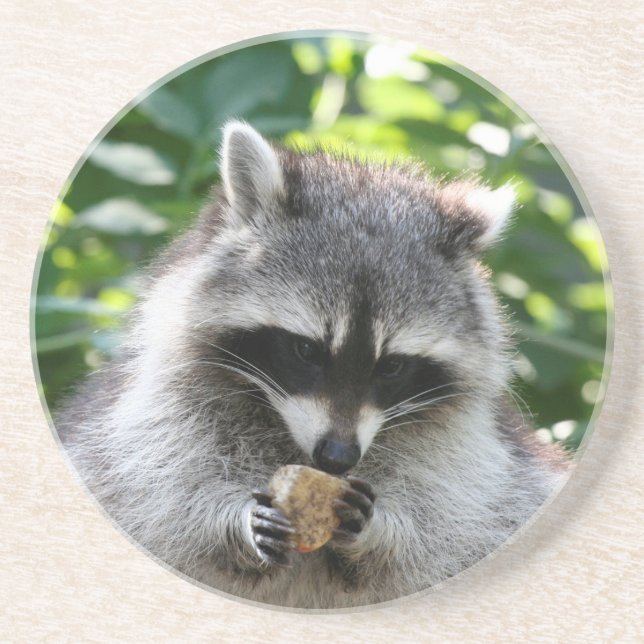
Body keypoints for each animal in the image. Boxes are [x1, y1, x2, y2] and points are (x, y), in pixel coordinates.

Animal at [57, 121, 567, 609]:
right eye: (306, 350)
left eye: (392, 366)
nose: (337, 458)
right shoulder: (157, 417)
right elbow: (163, 491)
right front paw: (232, 522)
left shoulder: (467, 456)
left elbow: (448, 518)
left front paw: (379, 532)